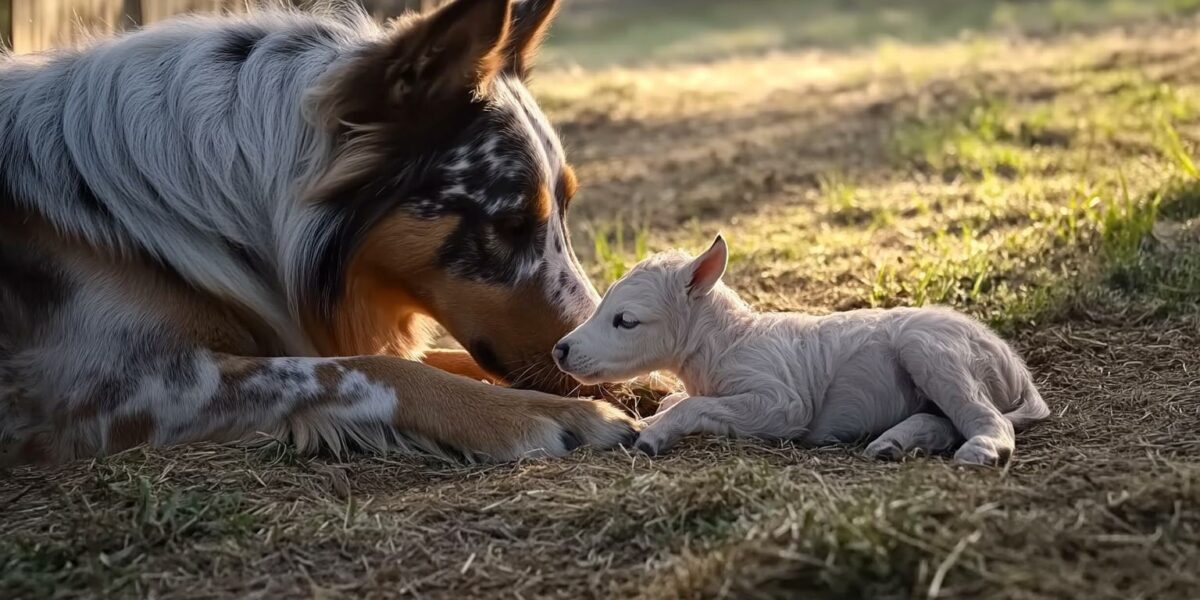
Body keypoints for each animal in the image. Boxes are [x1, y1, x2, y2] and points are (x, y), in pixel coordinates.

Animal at [0, 0, 643, 468]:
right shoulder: (119, 393)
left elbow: (432, 357)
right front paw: (546, 413)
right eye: (510, 224)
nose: (603, 368)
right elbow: (370, 369)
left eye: (566, 210)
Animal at [552, 234, 1051, 463]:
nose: (560, 350)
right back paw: (891, 443)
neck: (725, 343)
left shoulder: (783, 403)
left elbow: (692, 406)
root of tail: (1016, 367)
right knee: (945, 420)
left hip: (934, 351)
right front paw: (650, 418)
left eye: (626, 320)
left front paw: (653, 434)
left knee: (984, 419)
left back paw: (981, 449)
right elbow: (676, 400)